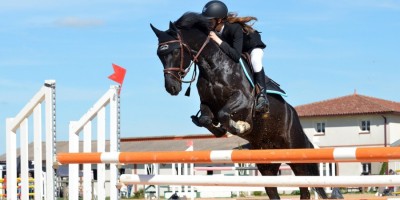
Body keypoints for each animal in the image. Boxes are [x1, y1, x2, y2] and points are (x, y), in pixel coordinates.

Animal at [152, 12, 330, 200]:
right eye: (159, 55)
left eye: (176, 51)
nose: (171, 87)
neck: (213, 65)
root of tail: (294, 115)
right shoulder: (207, 104)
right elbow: (206, 119)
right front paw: (221, 130)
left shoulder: (243, 100)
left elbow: (224, 114)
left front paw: (241, 126)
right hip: (267, 164)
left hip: (296, 155)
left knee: (305, 186)